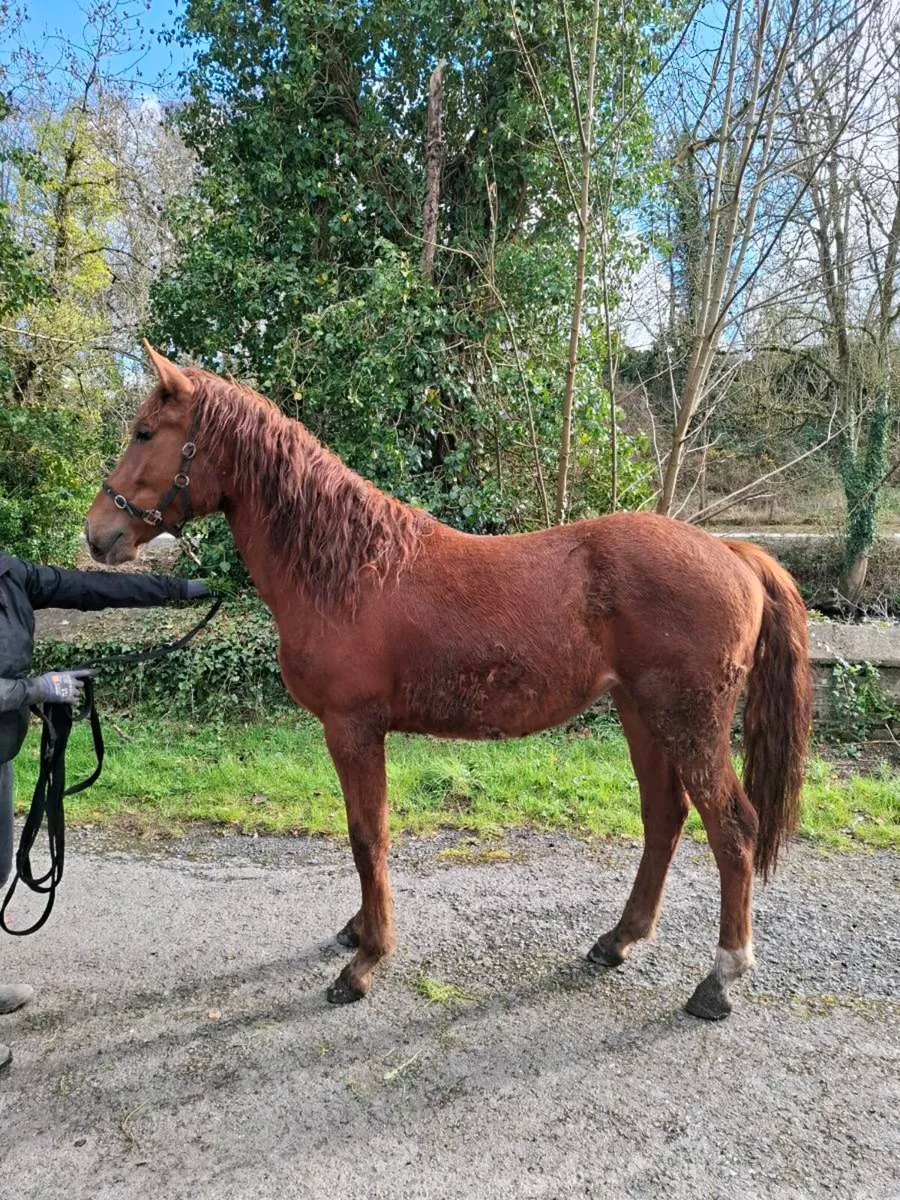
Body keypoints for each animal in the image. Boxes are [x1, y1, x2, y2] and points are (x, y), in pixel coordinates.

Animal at [85, 342, 812, 1021]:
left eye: (145, 432)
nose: (98, 534)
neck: (347, 566)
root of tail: (732, 553)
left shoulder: (353, 729)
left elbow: (367, 837)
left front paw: (366, 961)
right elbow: (364, 831)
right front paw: (359, 933)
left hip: (688, 722)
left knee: (733, 830)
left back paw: (719, 979)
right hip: (642, 713)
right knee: (664, 818)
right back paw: (618, 940)